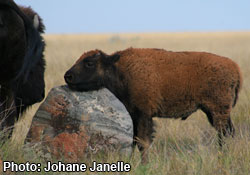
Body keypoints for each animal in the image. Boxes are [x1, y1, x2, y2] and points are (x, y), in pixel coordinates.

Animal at [64, 47, 242, 163]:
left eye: (89, 63)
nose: (68, 76)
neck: (120, 70)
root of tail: (234, 67)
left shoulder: (144, 114)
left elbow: (143, 142)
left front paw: (144, 164)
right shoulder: (134, 114)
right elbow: (134, 140)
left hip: (217, 111)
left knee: (223, 134)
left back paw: (222, 157)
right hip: (213, 112)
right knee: (229, 132)